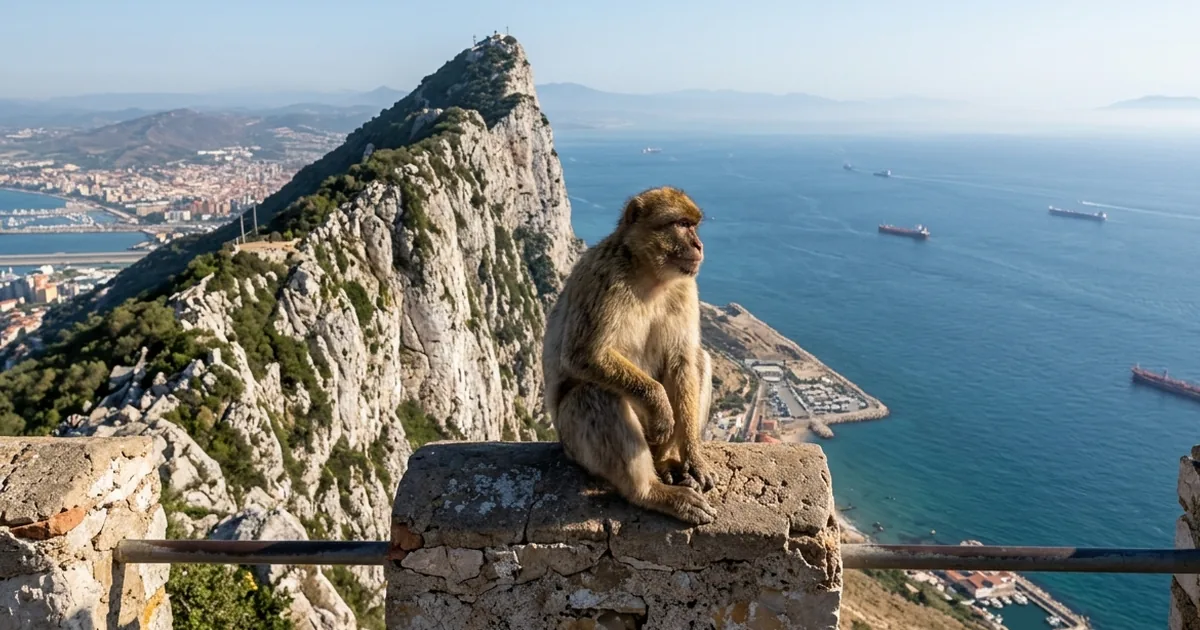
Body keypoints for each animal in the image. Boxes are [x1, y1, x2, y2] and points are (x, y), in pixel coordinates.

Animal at [542, 186, 718, 525]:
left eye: (694, 225)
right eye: (681, 224)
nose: (699, 245)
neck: (649, 274)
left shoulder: (686, 287)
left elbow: (682, 360)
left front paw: (694, 458)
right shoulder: (602, 278)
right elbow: (584, 354)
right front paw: (659, 405)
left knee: (699, 361)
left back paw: (667, 462)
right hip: (576, 446)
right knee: (595, 393)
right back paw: (651, 492)